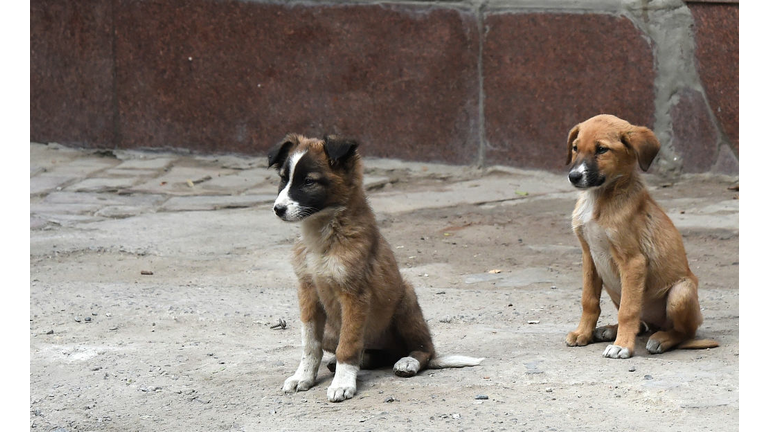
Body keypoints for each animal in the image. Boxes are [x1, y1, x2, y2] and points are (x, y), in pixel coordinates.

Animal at [270, 134, 484, 402]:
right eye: (283, 178)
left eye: (309, 181)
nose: (277, 209)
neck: (322, 237)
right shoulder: (308, 291)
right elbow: (310, 344)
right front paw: (303, 377)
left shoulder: (354, 295)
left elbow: (348, 343)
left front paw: (343, 383)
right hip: (332, 331)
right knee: (375, 353)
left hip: (406, 300)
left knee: (425, 350)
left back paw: (407, 362)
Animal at [560, 114, 716, 358]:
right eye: (575, 148)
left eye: (602, 149)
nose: (574, 177)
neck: (600, 197)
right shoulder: (589, 256)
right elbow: (589, 300)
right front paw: (582, 333)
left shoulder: (633, 262)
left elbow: (628, 310)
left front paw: (622, 345)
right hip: (612, 284)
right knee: (642, 325)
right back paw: (610, 329)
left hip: (680, 293)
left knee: (683, 332)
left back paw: (661, 339)